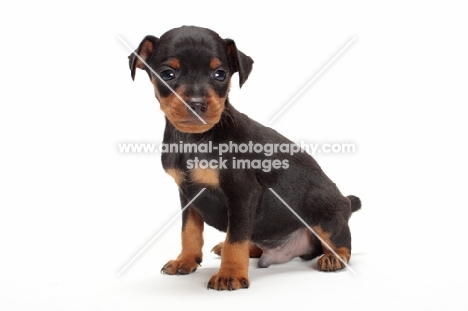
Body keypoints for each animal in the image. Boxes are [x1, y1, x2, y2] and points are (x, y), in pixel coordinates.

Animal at [128, 25, 362, 292]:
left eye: (220, 74)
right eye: (167, 74)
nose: (196, 104)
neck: (195, 139)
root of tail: (346, 201)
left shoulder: (242, 193)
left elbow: (236, 238)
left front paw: (229, 274)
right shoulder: (188, 195)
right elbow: (189, 231)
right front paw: (185, 260)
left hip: (322, 209)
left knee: (341, 241)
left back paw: (334, 257)